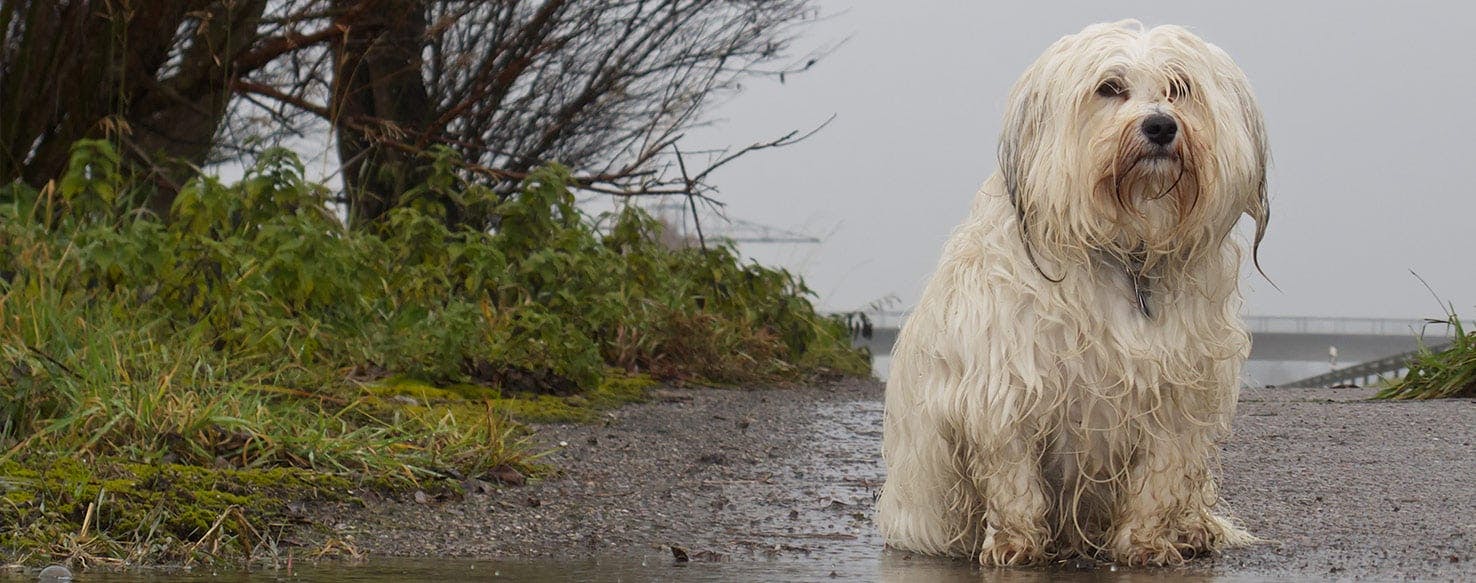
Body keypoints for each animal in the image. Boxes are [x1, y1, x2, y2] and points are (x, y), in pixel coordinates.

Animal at [873, 21, 1269, 566]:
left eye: (1180, 87)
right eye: (1110, 88)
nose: (1161, 127)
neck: (1128, 252)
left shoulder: (1177, 394)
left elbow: (1159, 478)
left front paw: (1145, 543)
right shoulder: (1006, 386)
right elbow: (1013, 477)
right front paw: (1016, 544)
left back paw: (1193, 530)